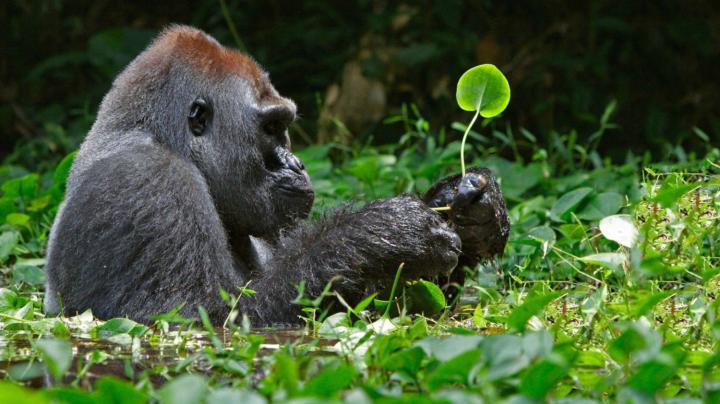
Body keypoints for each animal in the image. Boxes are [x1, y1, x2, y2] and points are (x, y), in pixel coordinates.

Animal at [43, 25, 510, 326]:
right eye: (270, 129)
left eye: (283, 126)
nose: (297, 163)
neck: (162, 137)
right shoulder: (146, 181)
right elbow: (204, 317)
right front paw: (383, 233)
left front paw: (471, 211)